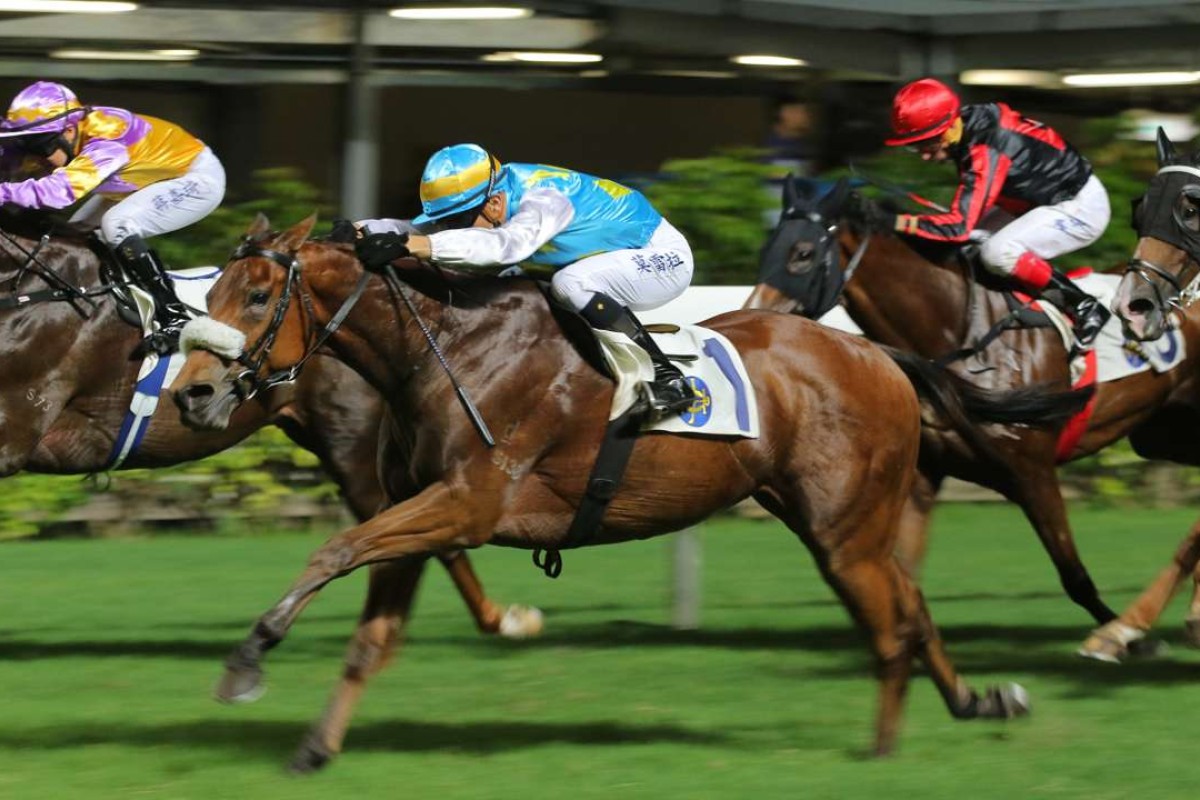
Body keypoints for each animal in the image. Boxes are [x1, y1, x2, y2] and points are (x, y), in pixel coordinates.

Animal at [164, 211, 1065, 767]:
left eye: (255, 295)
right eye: (207, 294)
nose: (192, 394)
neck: (447, 347)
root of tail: (878, 354)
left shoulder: (467, 504)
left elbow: (335, 546)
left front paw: (246, 661)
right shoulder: (420, 512)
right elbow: (369, 634)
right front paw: (316, 746)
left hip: (845, 529)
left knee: (891, 624)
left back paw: (884, 747)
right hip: (838, 524)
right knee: (911, 604)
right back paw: (981, 702)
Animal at [744, 176, 1200, 657]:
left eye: (802, 253)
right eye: (769, 248)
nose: (755, 315)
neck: (964, 333)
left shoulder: (1032, 472)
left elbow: (1074, 576)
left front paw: (1125, 638)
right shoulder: (924, 476)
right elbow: (903, 573)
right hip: (1165, 433)